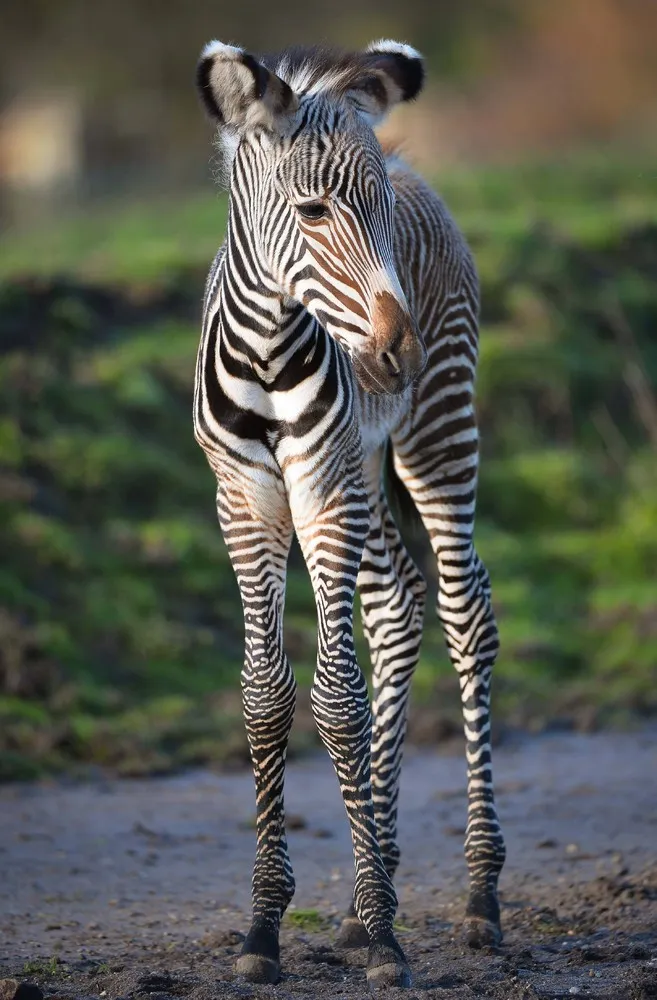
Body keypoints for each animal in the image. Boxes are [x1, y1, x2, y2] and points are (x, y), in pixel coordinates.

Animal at [192, 41, 504, 992]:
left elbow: (336, 699)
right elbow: (266, 697)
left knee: (464, 611)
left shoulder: (321, 484)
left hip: (435, 431)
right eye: (312, 210)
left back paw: (478, 895)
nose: (395, 354)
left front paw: (386, 935)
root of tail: (412, 166)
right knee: (396, 611)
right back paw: (379, 891)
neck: (267, 347)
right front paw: (265, 927)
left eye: (376, 212)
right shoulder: (244, 495)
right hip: (366, 473)